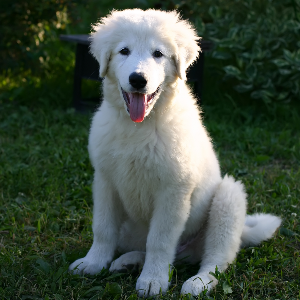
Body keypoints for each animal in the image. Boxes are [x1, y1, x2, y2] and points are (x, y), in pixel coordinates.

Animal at [69, 9, 282, 298]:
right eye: (124, 51)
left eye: (158, 54)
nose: (138, 80)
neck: (140, 126)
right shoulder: (105, 180)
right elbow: (103, 228)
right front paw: (93, 263)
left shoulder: (174, 191)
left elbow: (159, 240)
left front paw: (153, 281)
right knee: (167, 253)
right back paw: (129, 261)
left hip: (228, 200)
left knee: (216, 259)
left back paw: (198, 282)